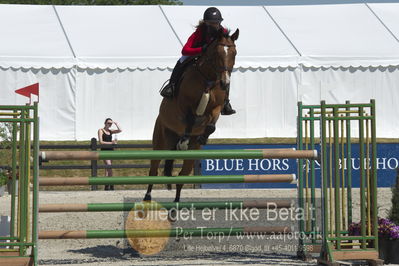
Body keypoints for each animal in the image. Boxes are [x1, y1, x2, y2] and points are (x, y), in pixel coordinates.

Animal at [145, 28, 239, 202]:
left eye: (234, 53)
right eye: (217, 54)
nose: (225, 83)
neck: (208, 78)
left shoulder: (216, 107)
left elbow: (211, 125)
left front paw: (203, 137)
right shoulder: (185, 106)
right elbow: (189, 120)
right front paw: (185, 139)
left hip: (189, 156)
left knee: (182, 176)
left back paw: (176, 204)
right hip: (160, 141)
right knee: (153, 170)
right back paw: (147, 197)